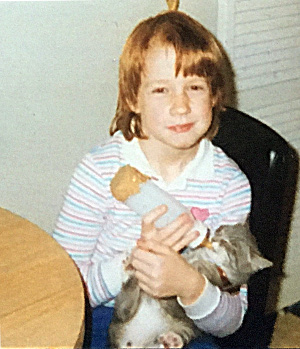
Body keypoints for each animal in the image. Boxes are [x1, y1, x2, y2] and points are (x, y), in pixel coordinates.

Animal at [108, 222, 272, 346]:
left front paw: (204, 268)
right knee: (126, 304)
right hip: (124, 313)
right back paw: (129, 267)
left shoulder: (223, 282)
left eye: (231, 246)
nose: (214, 239)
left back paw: (172, 340)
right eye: (220, 229)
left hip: (186, 327)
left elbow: (212, 275)